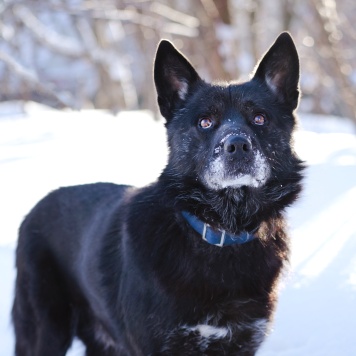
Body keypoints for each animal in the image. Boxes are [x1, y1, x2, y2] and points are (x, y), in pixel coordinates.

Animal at [13, 32, 304, 354]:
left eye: (260, 118)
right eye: (205, 122)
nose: (238, 145)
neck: (221, 233)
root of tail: (34, 210)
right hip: (47, 330)